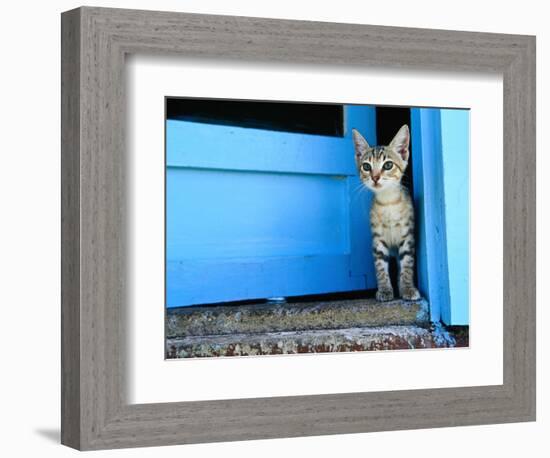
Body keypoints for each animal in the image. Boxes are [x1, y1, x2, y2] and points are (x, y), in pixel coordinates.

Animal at [354, 125, 422, 302]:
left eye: (388, 165)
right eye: (366, 167)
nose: (375, 177)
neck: (388, 203)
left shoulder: (407, 237)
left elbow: (407, 264)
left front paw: (407, 288)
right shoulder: (377, 240)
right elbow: (380, 267)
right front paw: (384, 290)